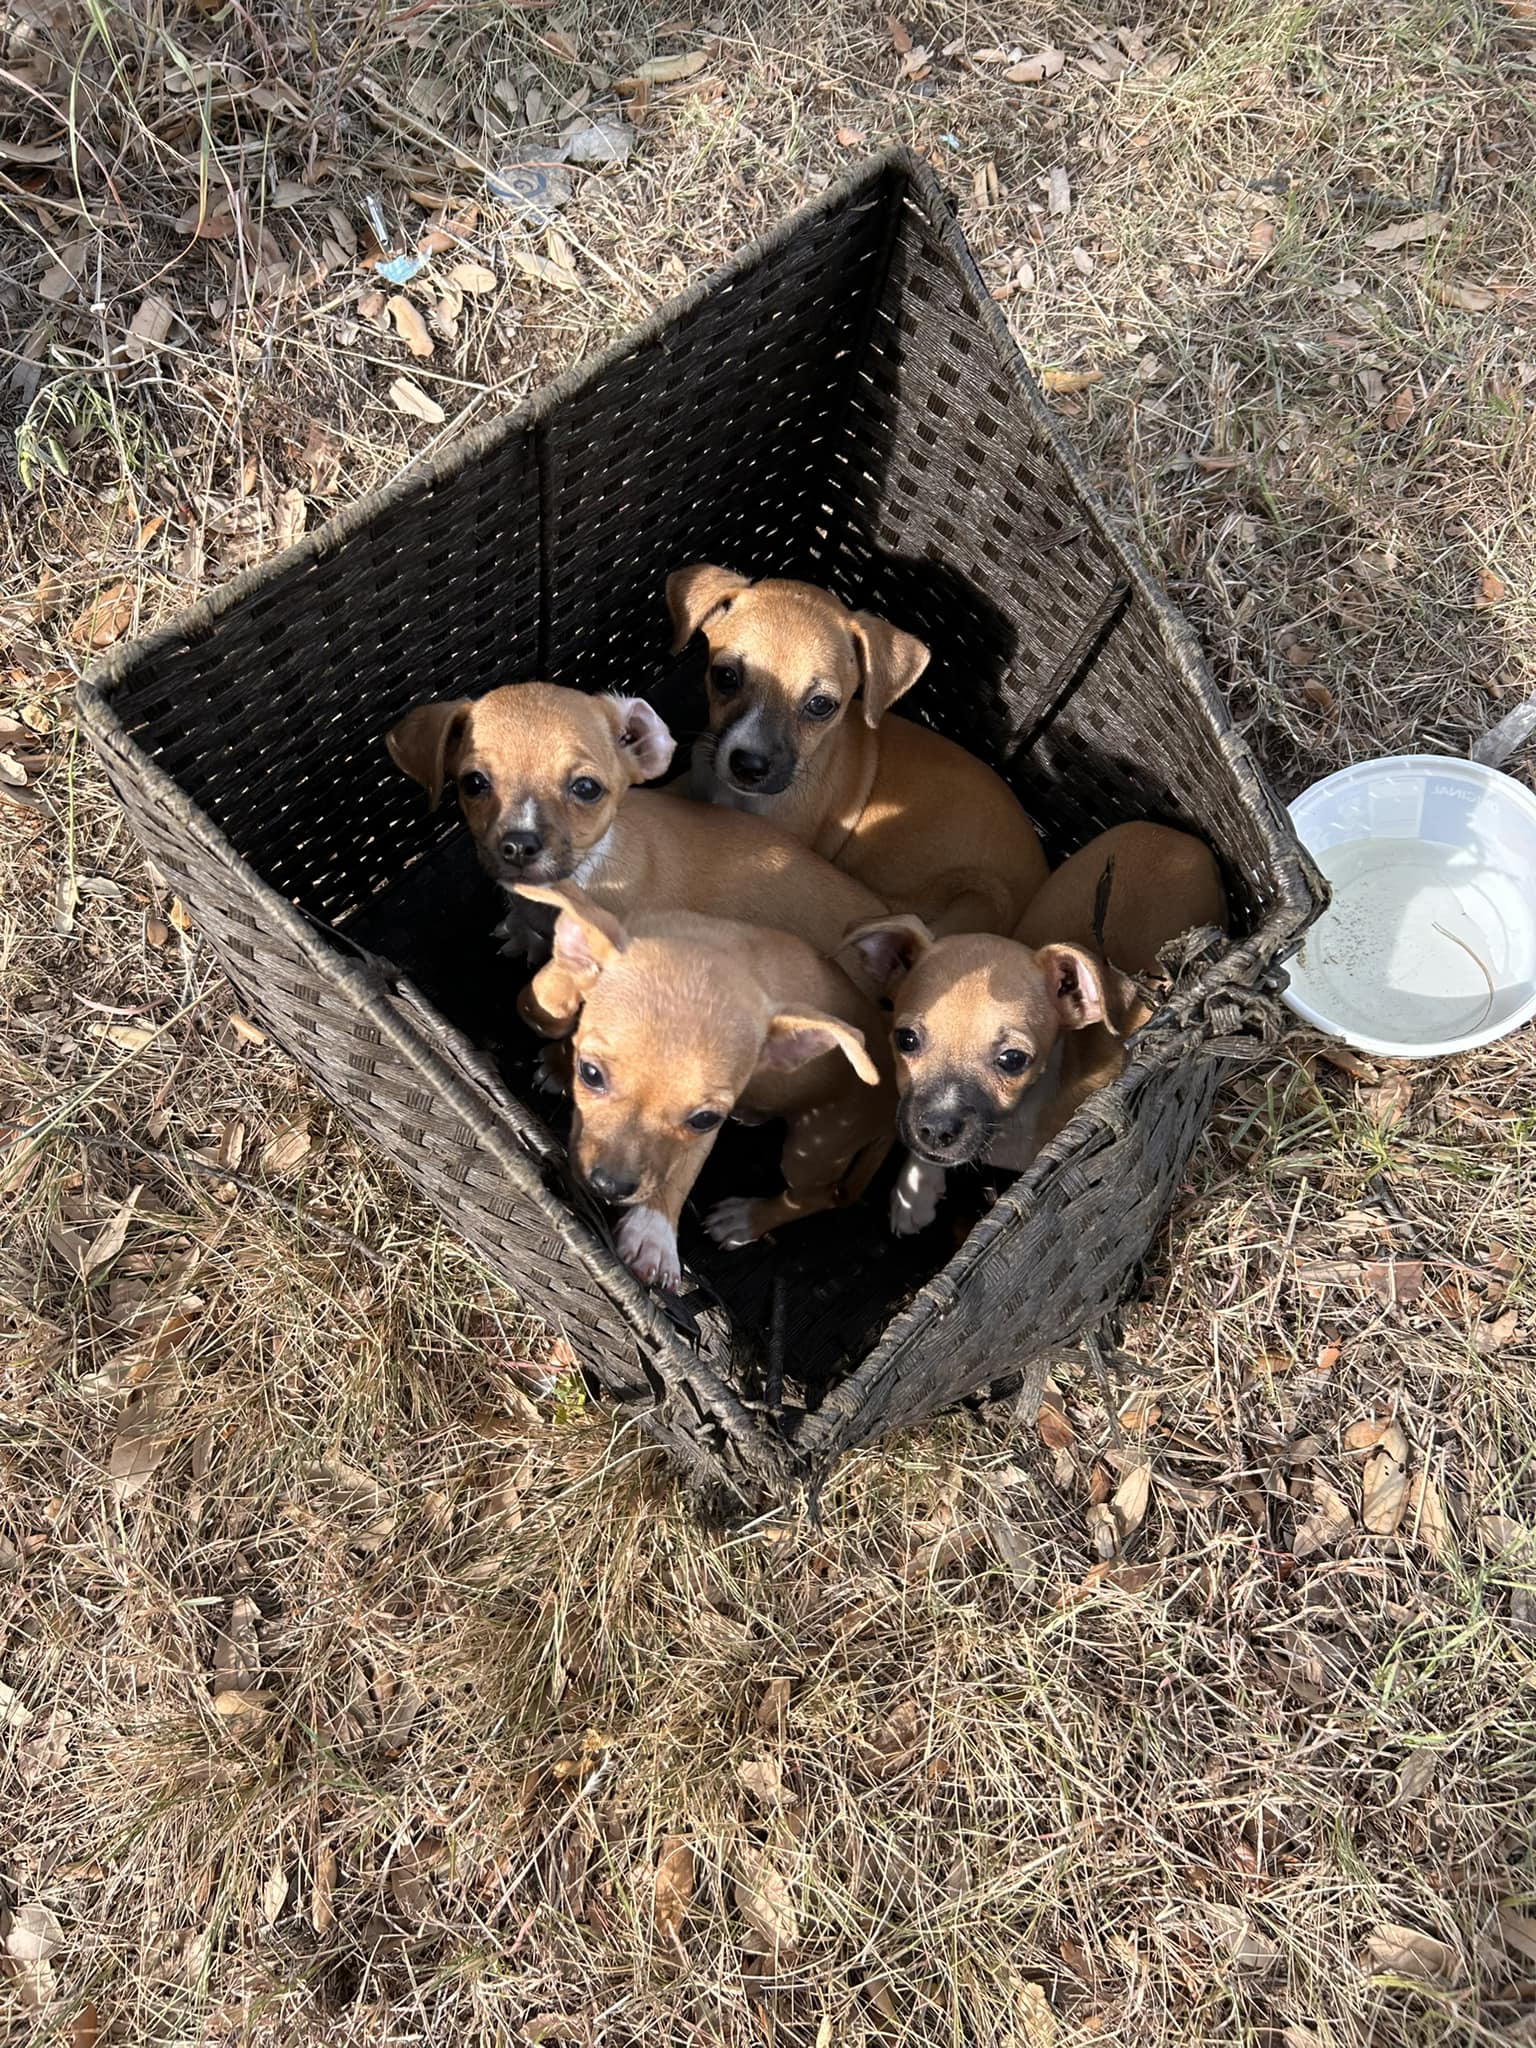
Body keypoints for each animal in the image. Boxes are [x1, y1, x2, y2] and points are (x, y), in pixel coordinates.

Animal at [518, 884, 901, 1294]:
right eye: (589, 1073)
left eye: (704, 1120)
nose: (610, 1186)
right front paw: (555, 1026)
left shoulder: (702, 1138)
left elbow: (681, 1174)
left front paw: (654, 1234)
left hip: (812, 1153)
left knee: (816, 1195)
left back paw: (746, 1219)